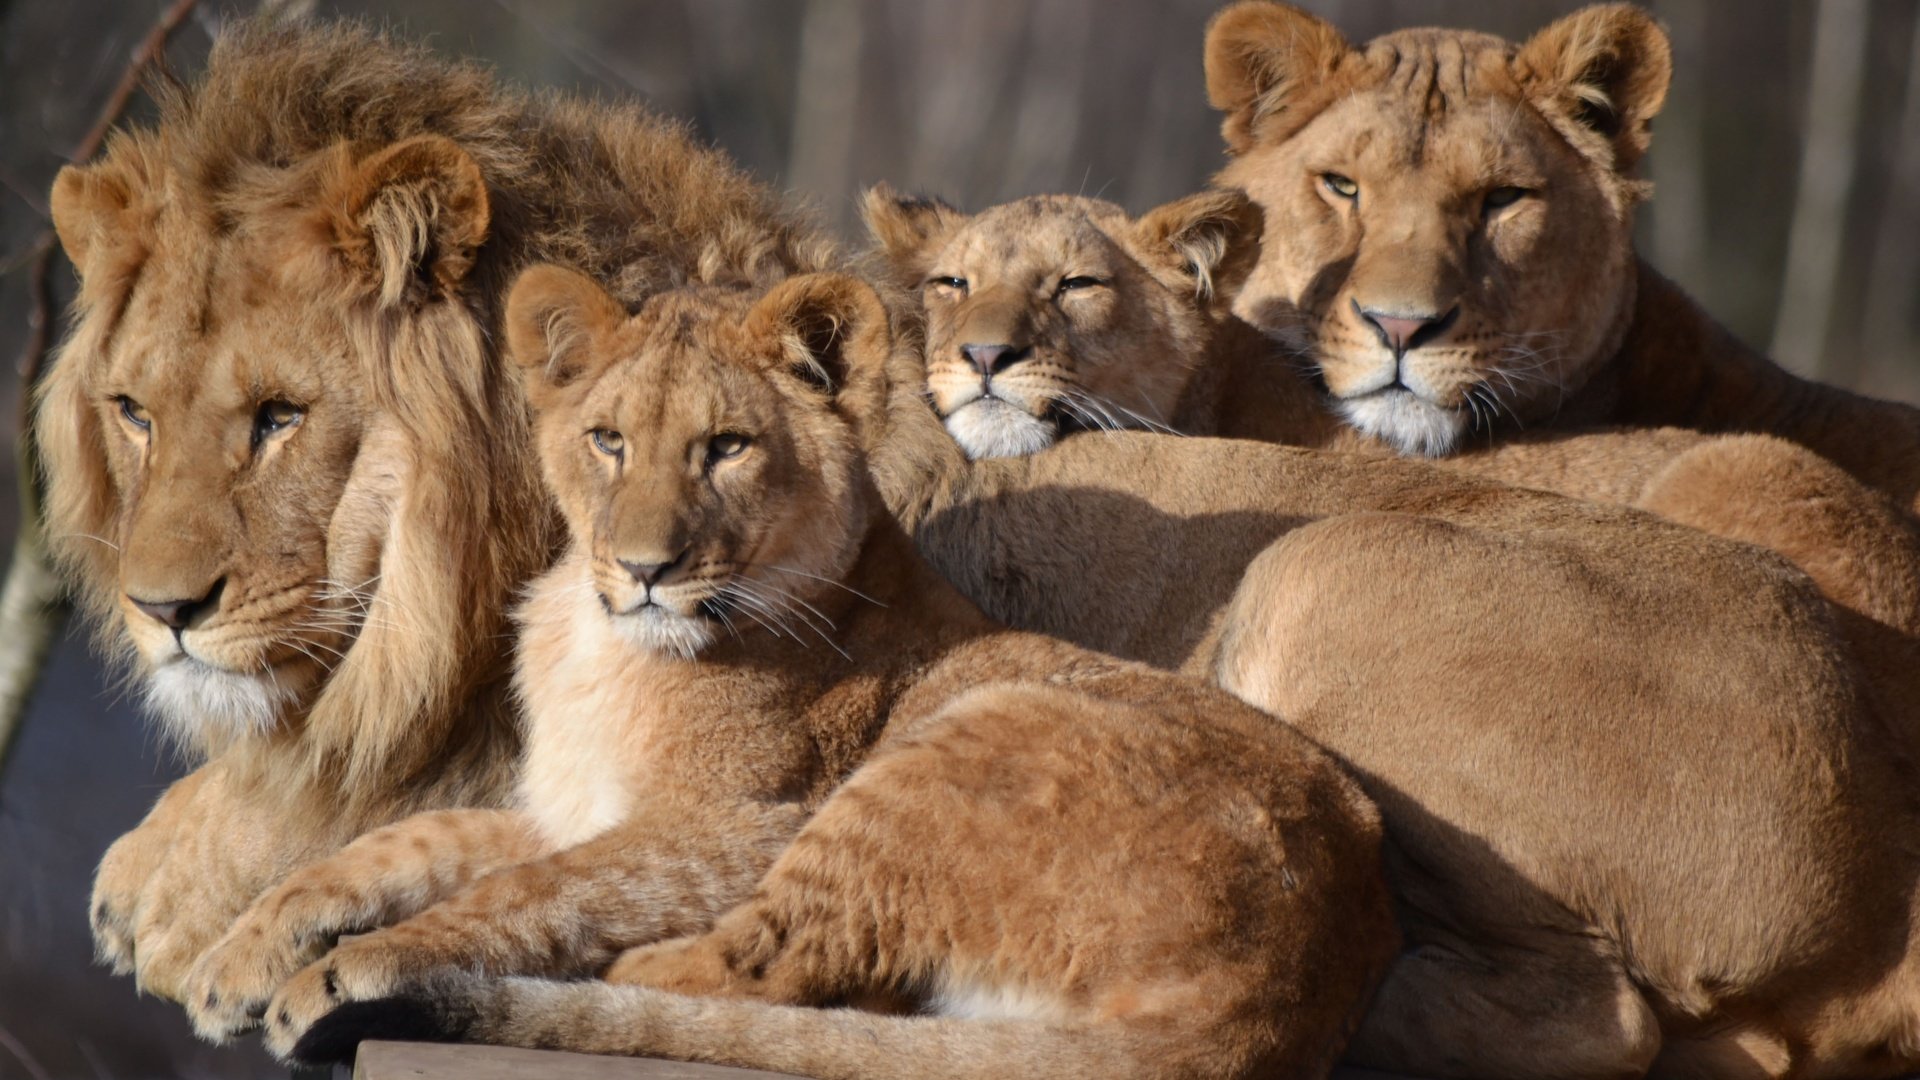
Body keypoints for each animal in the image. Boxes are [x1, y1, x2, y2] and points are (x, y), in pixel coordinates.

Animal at [198, 263, 1397, 1076]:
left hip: (948, 748)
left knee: (760, 971)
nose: (645, 569)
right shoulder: (573, 805)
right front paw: (242, 955)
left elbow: (533, 889)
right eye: (608, 440)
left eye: (726, 447)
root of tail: (1279, 1004)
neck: (598, 643)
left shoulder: (740, 824)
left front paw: (343, 970)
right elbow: (405, 844)